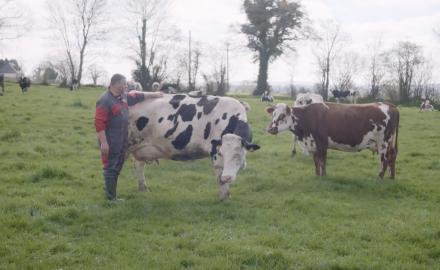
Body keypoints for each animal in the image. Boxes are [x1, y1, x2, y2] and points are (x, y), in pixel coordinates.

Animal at [126, 94, 262, 199]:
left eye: (237, 155)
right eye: (222, 153)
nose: (227, 177)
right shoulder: (215, 151)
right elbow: (219, 175)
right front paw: (224, 197)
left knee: (139, 165)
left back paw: (143, 188)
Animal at [266, 102, 400, 179]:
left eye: (282, 115)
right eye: (273, 114)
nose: (271, 129)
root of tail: (391, 106)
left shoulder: (322, 143)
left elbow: (322, 161)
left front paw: (323, 176)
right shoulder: (314, 144)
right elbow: (316, 161)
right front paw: (317, 175)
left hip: (383, 142)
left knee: (384, 159)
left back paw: (380, 177)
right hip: (388, 143)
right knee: (392, 156)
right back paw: (391, 176)